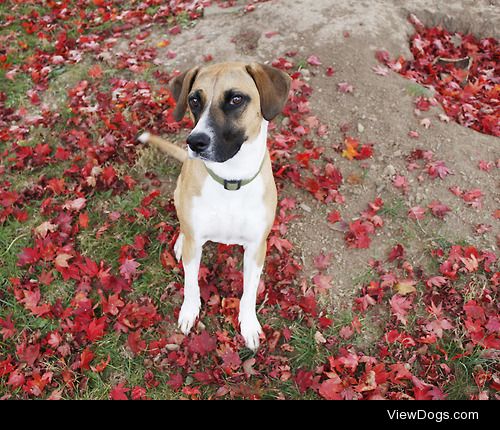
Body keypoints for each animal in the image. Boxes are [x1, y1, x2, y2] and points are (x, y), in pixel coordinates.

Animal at [139, 61, 292, 350]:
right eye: (194, 100)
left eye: (236, 99)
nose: (195, 142)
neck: (230, 181)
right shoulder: (196, 244)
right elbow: (191, 283)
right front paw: (189, 311)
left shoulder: (256, 248)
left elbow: (249, 292)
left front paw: (249, 324)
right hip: (179, 194)